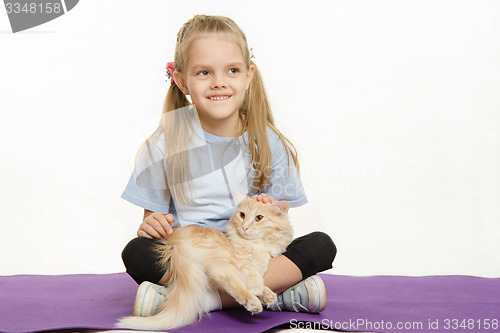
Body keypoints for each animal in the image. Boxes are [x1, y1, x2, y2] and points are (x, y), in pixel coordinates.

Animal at [116, 192, 292, 330]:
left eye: (259, 218)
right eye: (242, 215)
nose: (244, 227)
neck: (254, 244)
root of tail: (176, 240)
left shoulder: (264, 253)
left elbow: (261, 264)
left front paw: (263, 287)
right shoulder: (240, 258)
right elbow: (253, 275)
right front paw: (257, 287)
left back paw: (267, 296)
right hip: (221, 262)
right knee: (232, 284)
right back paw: (253, 301)